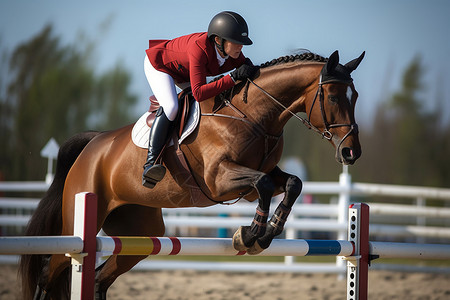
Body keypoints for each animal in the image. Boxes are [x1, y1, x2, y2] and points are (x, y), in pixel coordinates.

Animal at [22, 50, 366, 298]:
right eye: (334, 97)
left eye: (356, 97)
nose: (351, 153)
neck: (253, 114)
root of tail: (92, 145)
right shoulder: (220, 179)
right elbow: (265, 183)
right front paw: (251, 234)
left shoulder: (257, 179)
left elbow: (292, 183)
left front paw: (267, 232)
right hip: (81, 222)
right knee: (50, 271)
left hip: (141, 231)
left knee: (99, 280)